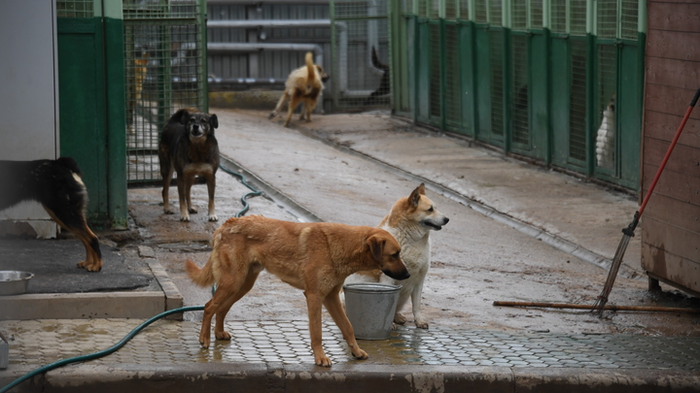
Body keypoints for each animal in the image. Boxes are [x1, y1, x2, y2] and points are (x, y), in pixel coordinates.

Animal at [185, 214, 410, 364]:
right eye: (394, 254)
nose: (408, 275)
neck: (341, 246)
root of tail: (226, 224)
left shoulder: (331, 298)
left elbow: (347, 327)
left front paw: (356, 351)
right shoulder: (315, 297)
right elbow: (317, 332)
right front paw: (320, 358)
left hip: (242, 285)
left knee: (221, 308)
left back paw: (218, 333)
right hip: (233, 281)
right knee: (209, 306)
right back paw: (204, 339)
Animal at [344, 183, 448, 328]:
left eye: (436, 208)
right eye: (430, 209)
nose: (447, 219)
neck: (412, 240)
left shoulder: (420, 279)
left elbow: (417, 305)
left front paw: (419, 321)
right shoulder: (387, 277)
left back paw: (398, 317)